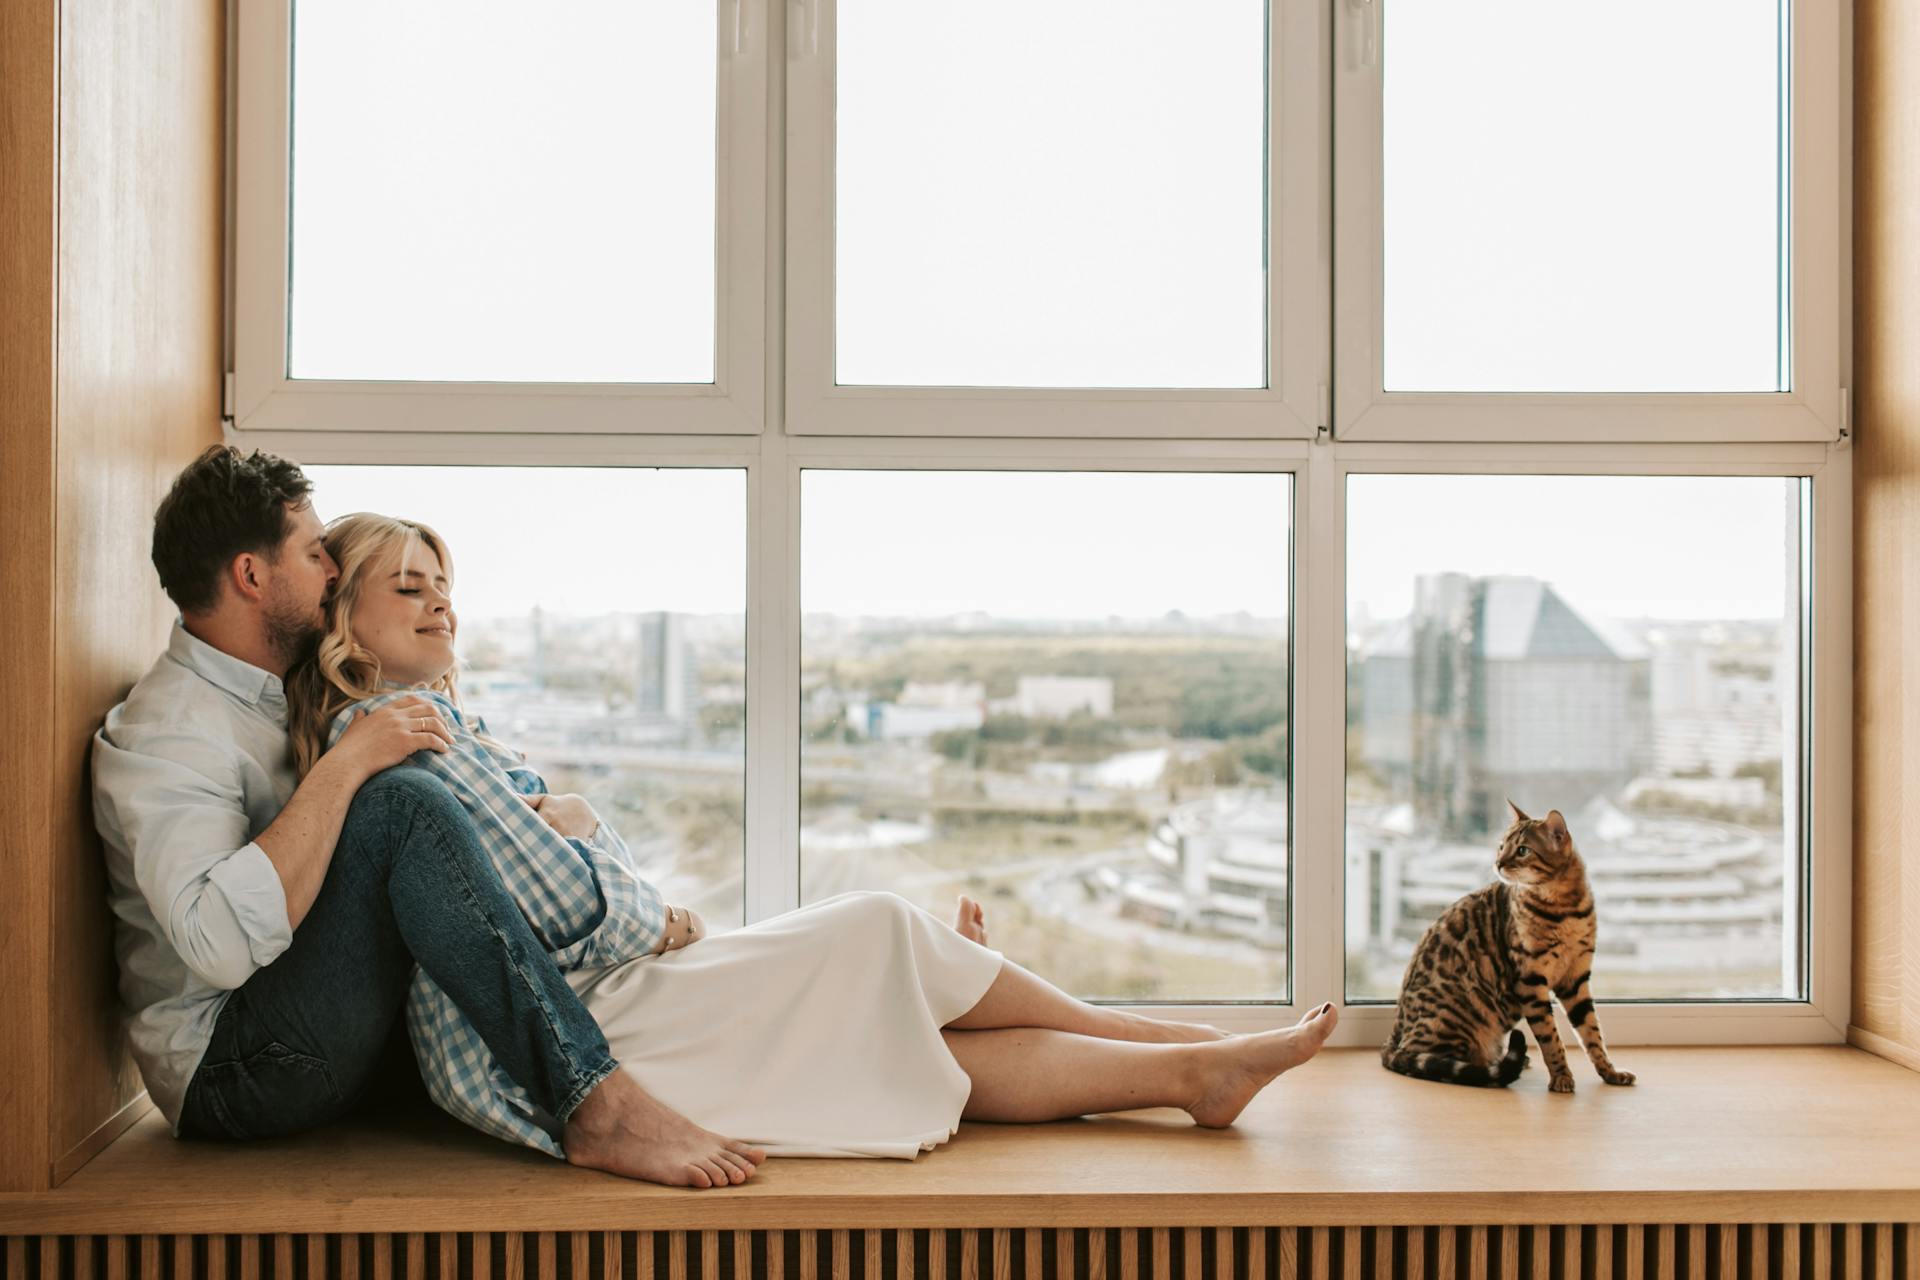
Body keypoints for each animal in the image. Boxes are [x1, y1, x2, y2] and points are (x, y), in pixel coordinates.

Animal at [1382, 802, 1635, 1090]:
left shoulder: (1575, 978)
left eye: (1523, 850)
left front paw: (1609, 1072)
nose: (1498, 863)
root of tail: (1392, 1037)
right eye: (1501, 846)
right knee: (1433, 1060)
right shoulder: (1530, 980)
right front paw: (1561, 1076)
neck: (1563, 908)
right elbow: (1550, 1038)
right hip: (1458, 1018)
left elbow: (1592, 1032)